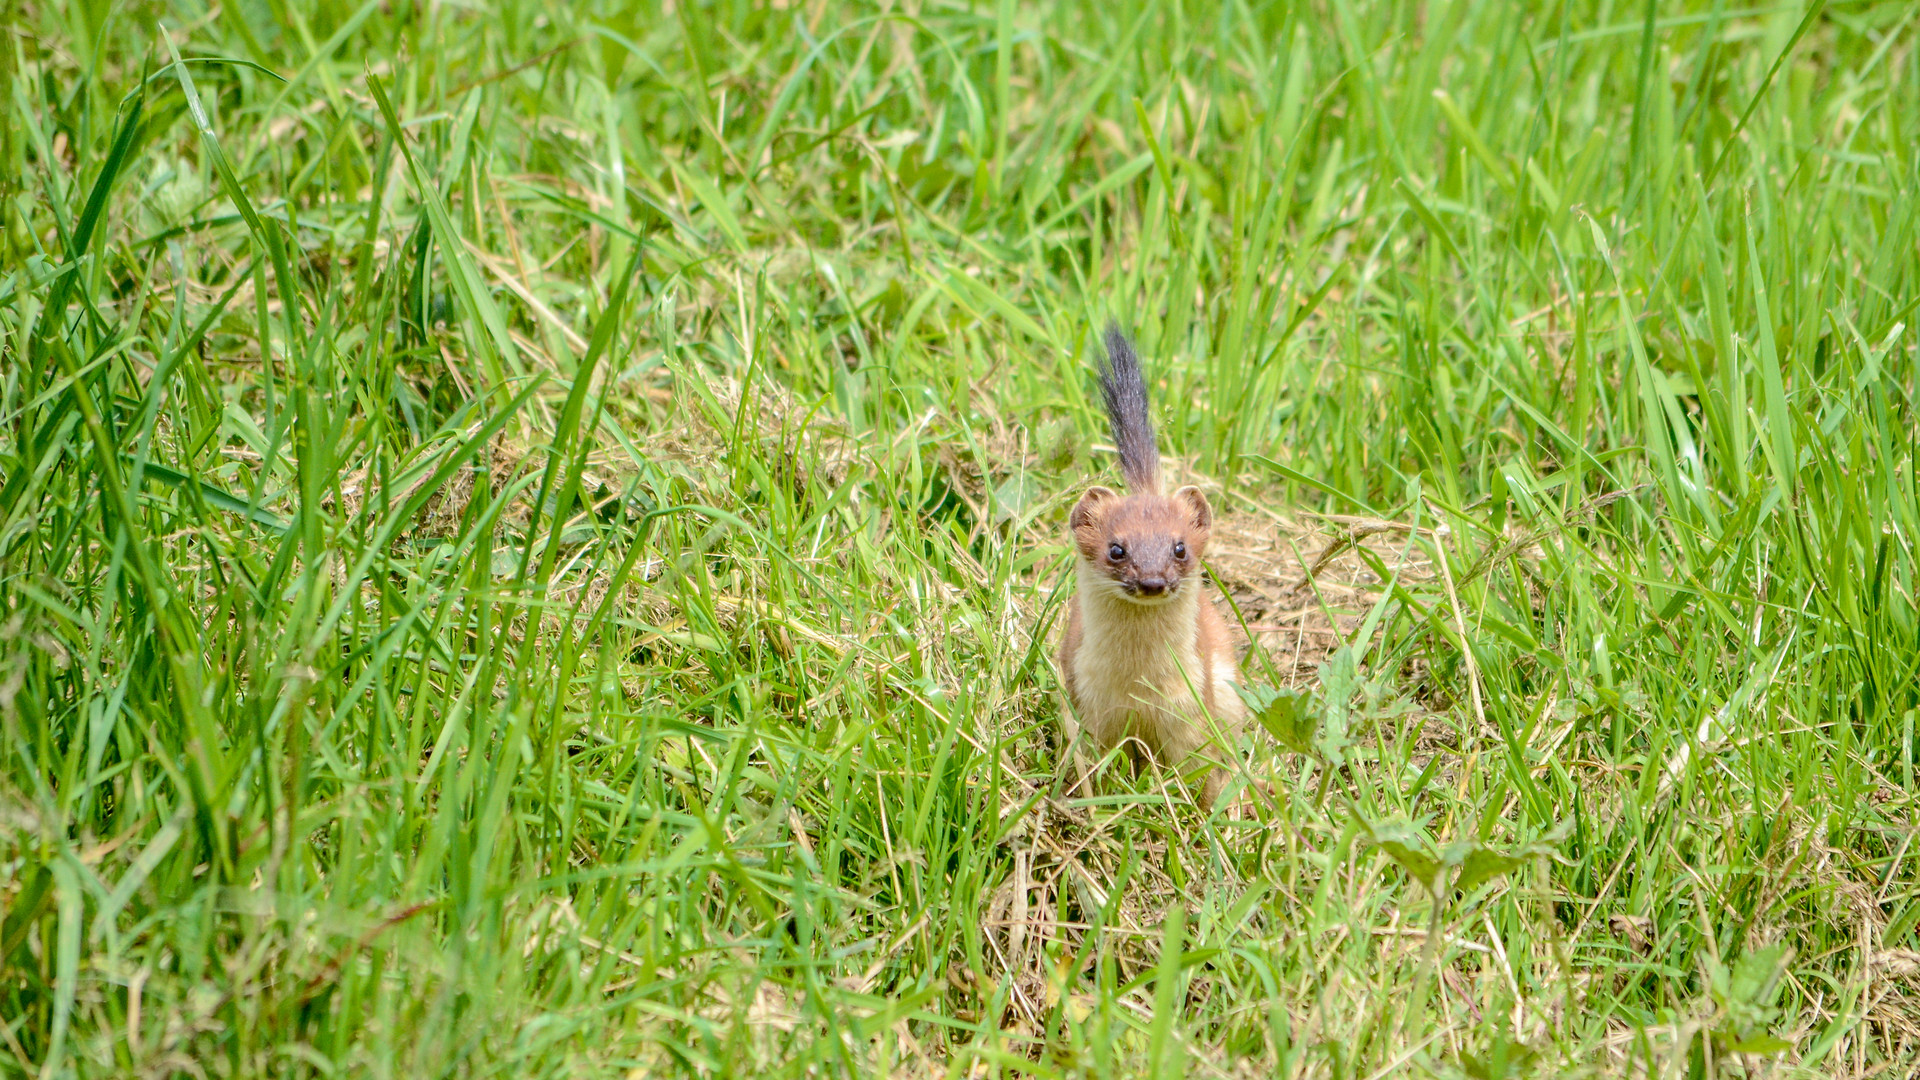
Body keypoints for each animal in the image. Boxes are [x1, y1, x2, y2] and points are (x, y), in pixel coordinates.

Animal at [1052, 322, 1244, 803]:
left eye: (1180, 548)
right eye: (1116, 549)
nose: (1154, 581)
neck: (1139, 689)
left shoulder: (1191, 708)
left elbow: (1199, 770)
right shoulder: (1092, 709)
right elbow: (1096, 765)